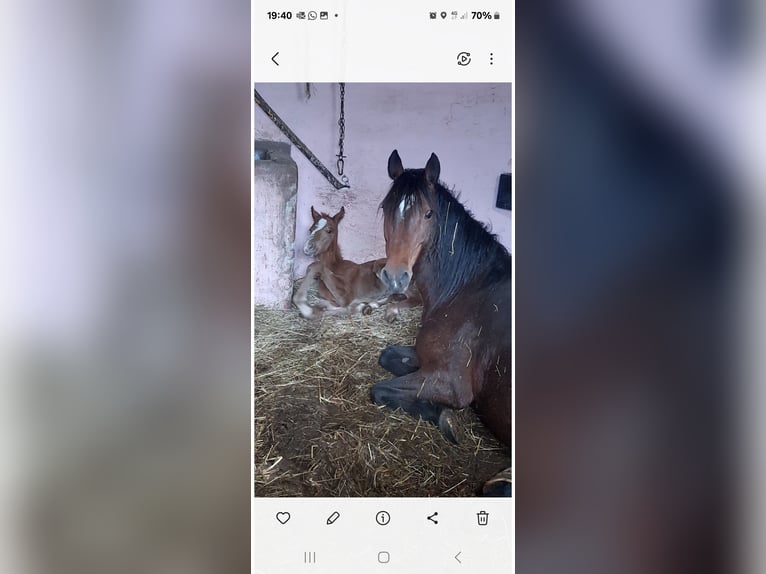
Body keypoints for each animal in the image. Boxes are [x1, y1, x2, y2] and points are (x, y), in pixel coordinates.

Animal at [372, 150, 512, 496]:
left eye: (428, 214)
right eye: (386, 209)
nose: (395, 278)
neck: (469, 289)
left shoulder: (451, 384)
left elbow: (379, 390)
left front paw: (445, 417)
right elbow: (388, 358)